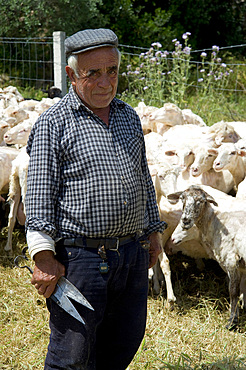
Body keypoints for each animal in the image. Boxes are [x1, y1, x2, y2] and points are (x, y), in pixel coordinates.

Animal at [167, 185, 246, 330]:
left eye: (201, 201)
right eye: (182, 198)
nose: (185, 221)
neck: (215, 223)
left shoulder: (231, 260)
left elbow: (233, 292)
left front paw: (231, 323)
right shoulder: (240, 266)